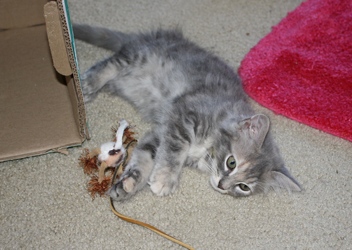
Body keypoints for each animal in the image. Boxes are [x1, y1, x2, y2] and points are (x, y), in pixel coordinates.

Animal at [73, 24, 300, 201]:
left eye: (244, 187)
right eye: (231, 162)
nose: (222, 186)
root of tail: (153, 37)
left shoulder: (159, 132)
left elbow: (144, 157)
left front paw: (128, 185)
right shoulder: (183, 116)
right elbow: (174, 152)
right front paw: (164, 179)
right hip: (140, 56)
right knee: (110, 62)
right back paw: (88, 84)